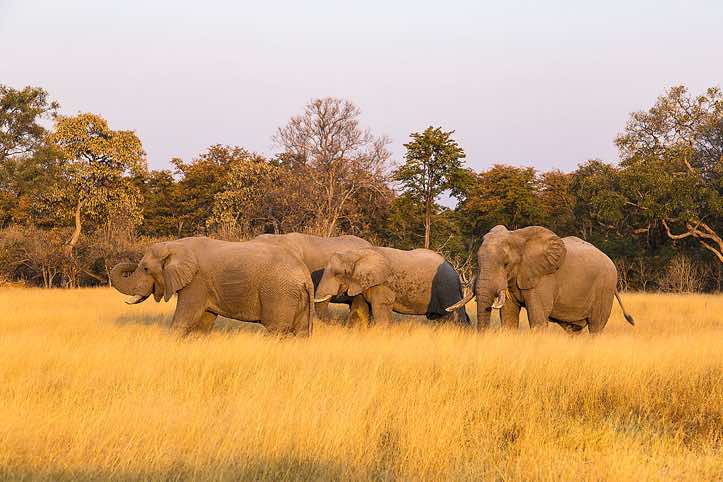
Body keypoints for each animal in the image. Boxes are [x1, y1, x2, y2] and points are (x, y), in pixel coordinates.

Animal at [109, 237, 314, 336]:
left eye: (145, 268)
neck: (176, 245)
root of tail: (304, 274)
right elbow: (204, 323)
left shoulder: (196, 282)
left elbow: (184, 319)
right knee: (301, 331)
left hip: (279, 293)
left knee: (277, 330)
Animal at [313, 247, 470, 326]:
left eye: (338, 274)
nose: (335, 323)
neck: (359, 253)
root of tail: (455, 272)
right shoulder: (362, 283)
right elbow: (359, 309)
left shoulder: (382, 284)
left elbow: (380, 308)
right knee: (443, 318)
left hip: (447, 288)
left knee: (454, 316)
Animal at [446, 225, 634, 333]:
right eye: (477, 260)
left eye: (506, 264)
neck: (518, 238)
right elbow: (508, 317)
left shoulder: (543, 279)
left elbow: (537, 318)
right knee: (574, 330)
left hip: (604, 288)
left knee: (596, 327)